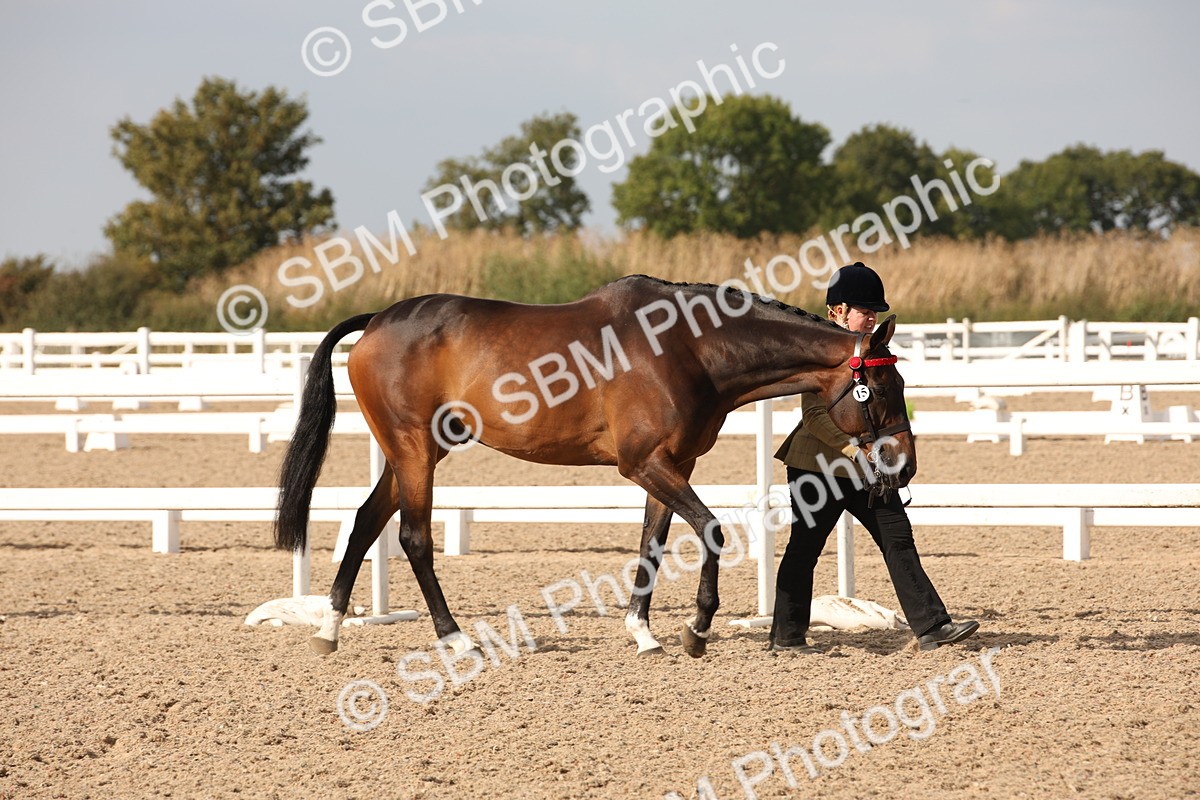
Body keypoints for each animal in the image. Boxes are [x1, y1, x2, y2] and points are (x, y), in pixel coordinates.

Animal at [273, 274, 914, 657]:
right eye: (883, 388)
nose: (903, 466)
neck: (686, 349)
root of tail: (380, 318)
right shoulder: (644, 463)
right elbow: (710, 530)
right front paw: (697, 629)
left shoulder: (672, 466)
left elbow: (652, 543)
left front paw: (644, 633)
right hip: (412, 450)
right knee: (412, 537)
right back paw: (455, 639)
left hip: (416, 452)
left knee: (365, 522)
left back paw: (329, 631)